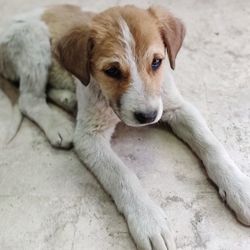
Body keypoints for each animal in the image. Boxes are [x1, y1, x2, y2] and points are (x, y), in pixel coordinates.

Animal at [0, 3, 250, 250]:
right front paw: (148, 220)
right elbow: (122, 175)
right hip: (34, 39)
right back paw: (58, 125)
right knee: (29, 100)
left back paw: (67, 99)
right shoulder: (90, 136)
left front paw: (239, 188)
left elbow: (211, 145)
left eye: (157, 62)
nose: (148, 116)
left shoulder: (177, 107)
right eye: (112, 71)